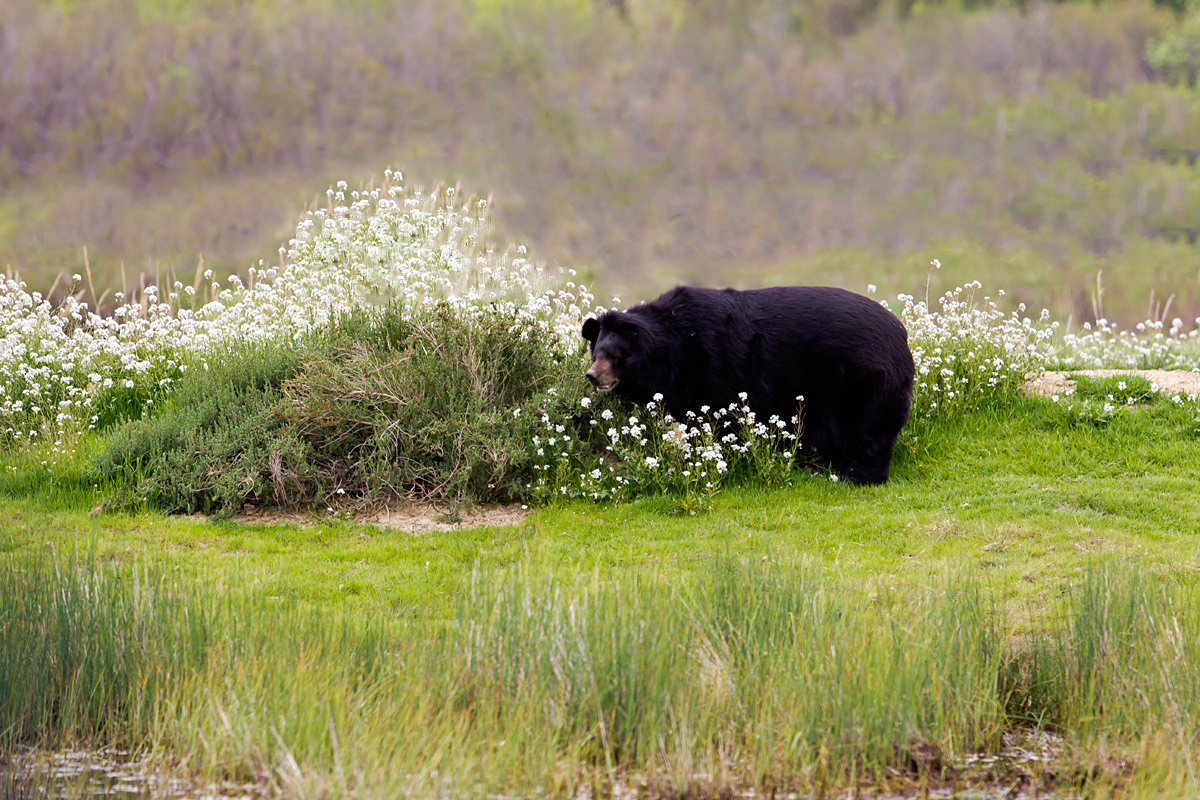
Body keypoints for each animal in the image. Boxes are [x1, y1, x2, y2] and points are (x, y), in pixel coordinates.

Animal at [578, 284, 907, 484]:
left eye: (615, 357)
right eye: (596, 353)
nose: (593, 376)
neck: (670, 350)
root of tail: (901, 334)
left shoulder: (710, 367)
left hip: (862, 382)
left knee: (870, 433)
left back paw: (856, 475)